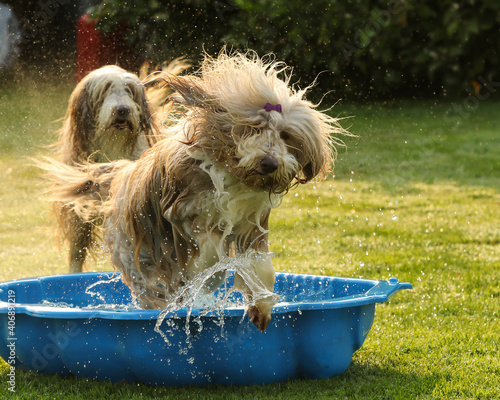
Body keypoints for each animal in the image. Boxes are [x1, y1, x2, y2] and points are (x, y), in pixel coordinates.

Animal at [43, 50, 346, 332]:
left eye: (285, 135)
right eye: (252, 128)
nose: (269, 163)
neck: (232, 174)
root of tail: (122, 173)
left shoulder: (252, 226)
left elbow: (261, 266)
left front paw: (260, 306)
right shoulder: (183, 210)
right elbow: (209, 249)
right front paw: (208, 279)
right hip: (137, 250)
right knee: (152, 285)